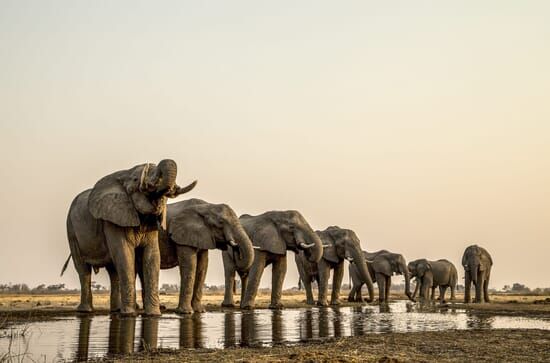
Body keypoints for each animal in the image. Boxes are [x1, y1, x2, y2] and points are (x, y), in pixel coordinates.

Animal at [63, 159, 196, 316]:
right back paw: (86, 311)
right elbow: (125, 254)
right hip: (71, 229)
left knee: (113, 271)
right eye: (136, 180)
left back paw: (115, 310)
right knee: (83, 270)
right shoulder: (113, 218)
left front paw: (154, 314)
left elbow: (152, 256)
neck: (125, 174)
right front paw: (130, 315)